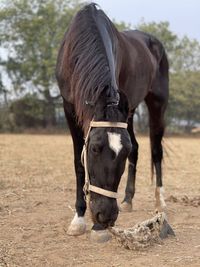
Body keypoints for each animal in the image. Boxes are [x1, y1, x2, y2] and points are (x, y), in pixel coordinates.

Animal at [55, 3, 169, 237]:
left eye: (122, 153)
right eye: (94, 149)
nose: (106, 217)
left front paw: (97, 227)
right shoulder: (68, 107)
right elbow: (78, 163)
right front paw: (78, 219)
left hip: (157, 104)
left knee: (156, 150)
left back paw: (160, 200)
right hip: (130, 110)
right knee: (138, 147)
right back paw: (127, 200)